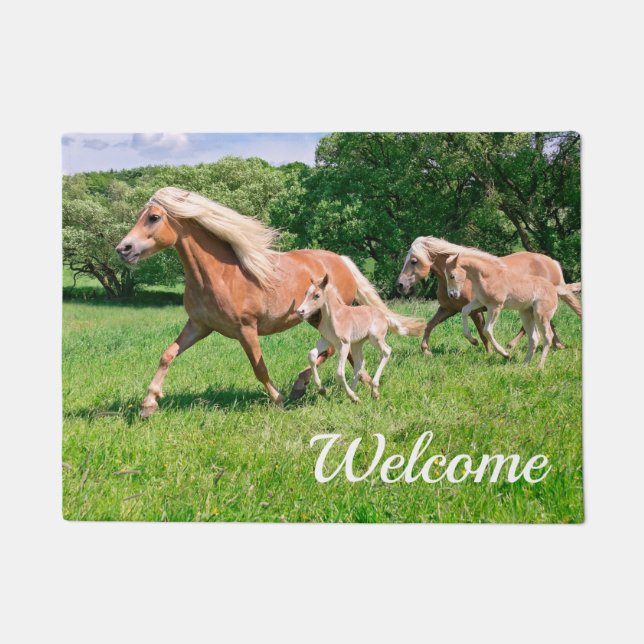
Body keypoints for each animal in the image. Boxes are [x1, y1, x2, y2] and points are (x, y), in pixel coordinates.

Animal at [296, 274, 424, 402]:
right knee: (359, 363)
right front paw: (322, 389)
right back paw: (354, 394)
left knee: (387, 351)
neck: (334, 316)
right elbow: (311, 355)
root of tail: (384, 316)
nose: (300, 311)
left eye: (317, 295)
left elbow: (339, 373)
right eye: (306, 293)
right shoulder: (327, 340)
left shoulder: (344, 343)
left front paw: (351, 396)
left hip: (374, 338)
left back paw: (371, 391)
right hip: (357, 343)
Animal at [396, 236, 582, 356]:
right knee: (547, 323)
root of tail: (552, 262)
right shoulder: (448, 309)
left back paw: (512, 345)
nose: (400, 285)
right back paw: (558, 345)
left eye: (414, 261)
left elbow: (482, 332)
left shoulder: (476, 310)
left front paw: (488, 351)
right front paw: (426, 350)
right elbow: (429, 325)